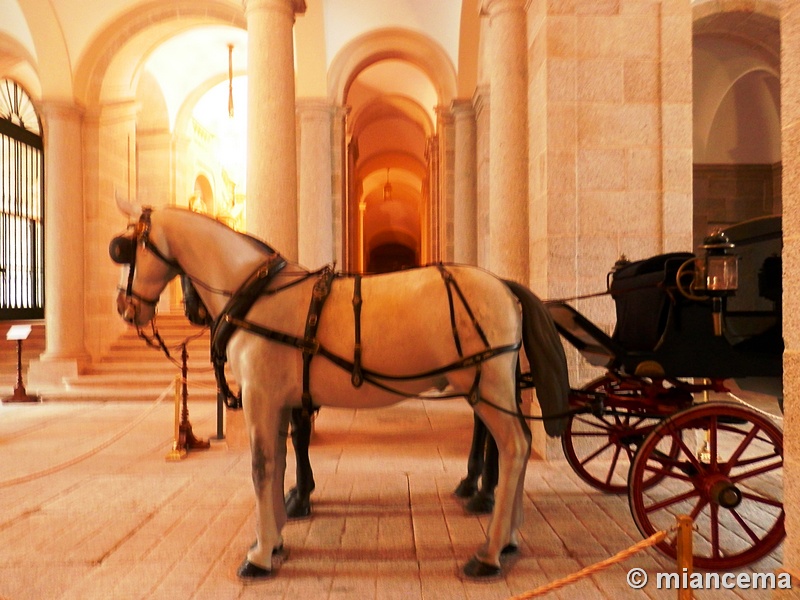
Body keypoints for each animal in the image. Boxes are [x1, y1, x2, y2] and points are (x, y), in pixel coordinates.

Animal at [109, 199, 572, 580]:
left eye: (123, 249)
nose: (124, 308)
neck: (255, 295)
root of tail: (505, 285)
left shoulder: (260, 397)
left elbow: (261, 468)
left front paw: (259, 555)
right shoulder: (280, 402)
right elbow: (280, 463)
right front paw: (276, 538)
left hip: (488, 387)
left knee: (514, 445)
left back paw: (489, 553)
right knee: (517, 444)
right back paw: (507, 538)